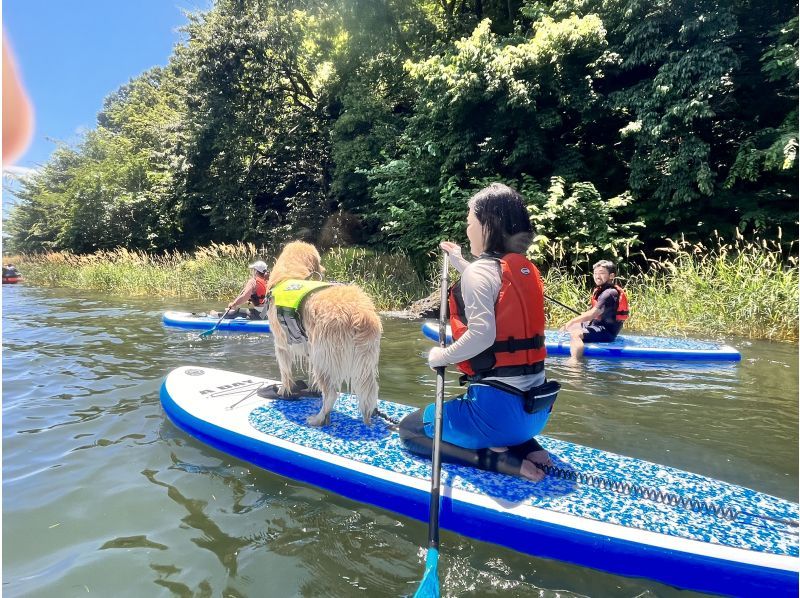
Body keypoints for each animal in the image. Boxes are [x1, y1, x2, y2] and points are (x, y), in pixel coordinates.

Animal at [268, 241, 382, 428]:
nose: (324, 269)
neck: (292, 274)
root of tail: (360, 314)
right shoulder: (308, 345)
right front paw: (312, 388)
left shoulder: (281, 345)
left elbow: (285, 371)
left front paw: (284, 390)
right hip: (365, 359)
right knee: (370, 390)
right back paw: (369, 415)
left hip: (325, 356)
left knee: (331, 394)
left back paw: (319, 418)